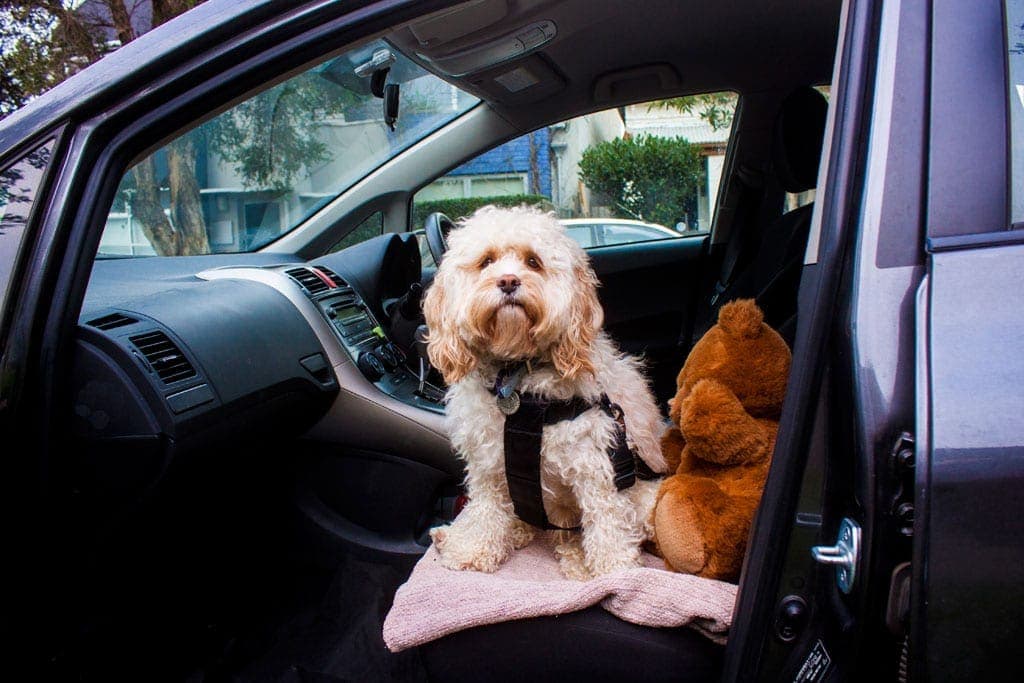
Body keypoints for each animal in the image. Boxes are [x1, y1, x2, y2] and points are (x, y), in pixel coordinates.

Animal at [421, 205, 667, 581]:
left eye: (533, 261)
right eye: (486, 261)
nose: (508, 281)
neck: (517, 379)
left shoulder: (596, 463)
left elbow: (606, 522)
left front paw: (614, 571)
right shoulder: (488, 464)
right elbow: (487, 509)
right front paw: (474, 549)